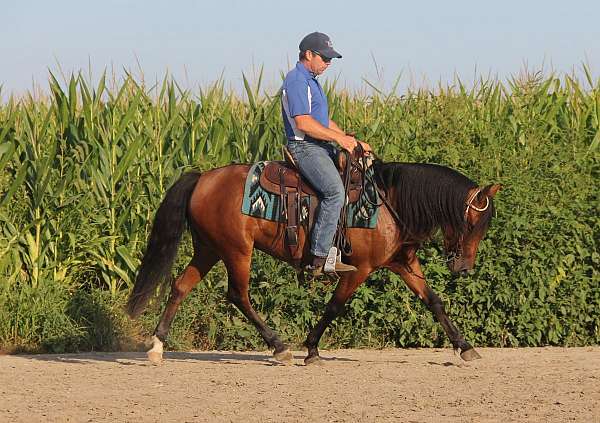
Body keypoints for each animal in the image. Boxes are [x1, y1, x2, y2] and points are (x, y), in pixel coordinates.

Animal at [126, 157, 502, 366]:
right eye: (473, 223)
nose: (464, 267)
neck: (387, 203)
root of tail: (203, 177)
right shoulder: (359, 269)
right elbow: (335, 306)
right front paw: (311, 349)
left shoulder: (402, 262)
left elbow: (434, 302)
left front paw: (465, 347)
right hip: (236, 251)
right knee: (238, 295)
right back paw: (280, 347)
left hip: (209, 249)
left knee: (180, 286)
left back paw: (157, 347)